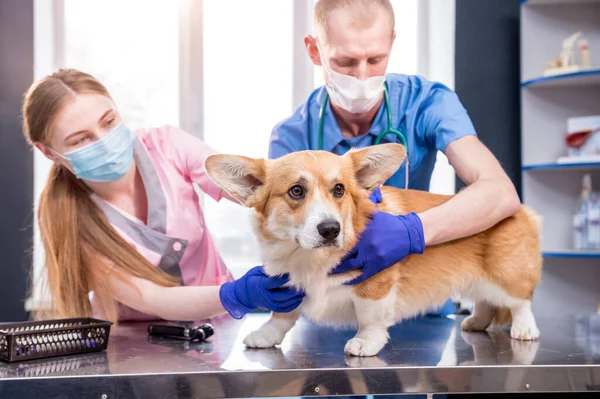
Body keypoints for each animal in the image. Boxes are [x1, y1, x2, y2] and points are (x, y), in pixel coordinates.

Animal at [204, 145, 540, 360]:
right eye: (296, 191)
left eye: (339, 189)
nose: (330, 229)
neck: (310, 259)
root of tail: (522, 209)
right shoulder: (287, 286)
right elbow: (282, 316)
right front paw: (267, 336)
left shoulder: (376, 284)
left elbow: (371, 317)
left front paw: (366, 342)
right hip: (479, 282)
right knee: (485, 301)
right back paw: (477, 322)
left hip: (505, 277)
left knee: (519, 301)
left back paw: (524, 328)